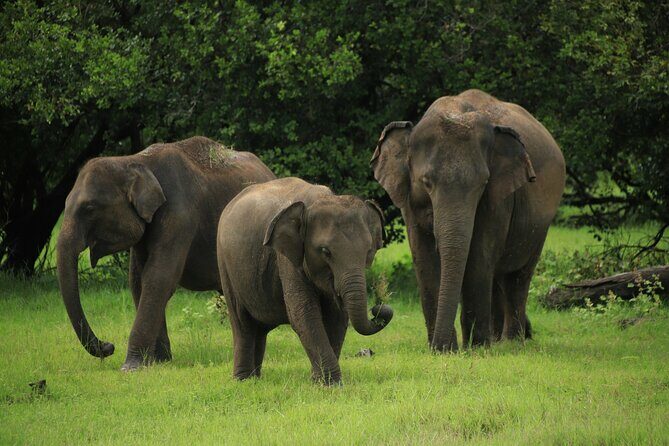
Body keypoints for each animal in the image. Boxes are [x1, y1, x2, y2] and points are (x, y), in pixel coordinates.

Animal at [56, 136, 275, 370]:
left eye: (89, 208)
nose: (109, 346)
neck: (132, 161)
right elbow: (138, 281)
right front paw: (158, 361)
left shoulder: (180, 216)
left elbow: (158, 277)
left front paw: (131, 367)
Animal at [216, 177, 393, 385]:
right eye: (325, 251)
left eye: (368, 251)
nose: (378, 309)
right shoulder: (287, 258)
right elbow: (304, 313)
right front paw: (331, 384)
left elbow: (338, 316)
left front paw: (319, 381)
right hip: (225, 264)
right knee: (242, 322)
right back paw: (243, 380)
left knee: (259, 328)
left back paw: (256, 378)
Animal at [371, 89, 565, 351]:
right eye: (426, 182)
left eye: (482, 184)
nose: (443, 346)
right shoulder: (409, 201)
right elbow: (423, 255)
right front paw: (441, 349)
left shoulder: (499, 199)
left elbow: (479, 255)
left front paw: (476, 348)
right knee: (498, 277)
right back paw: (498, 339)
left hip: (540, 225)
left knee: (517, 276)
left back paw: (510, 343)